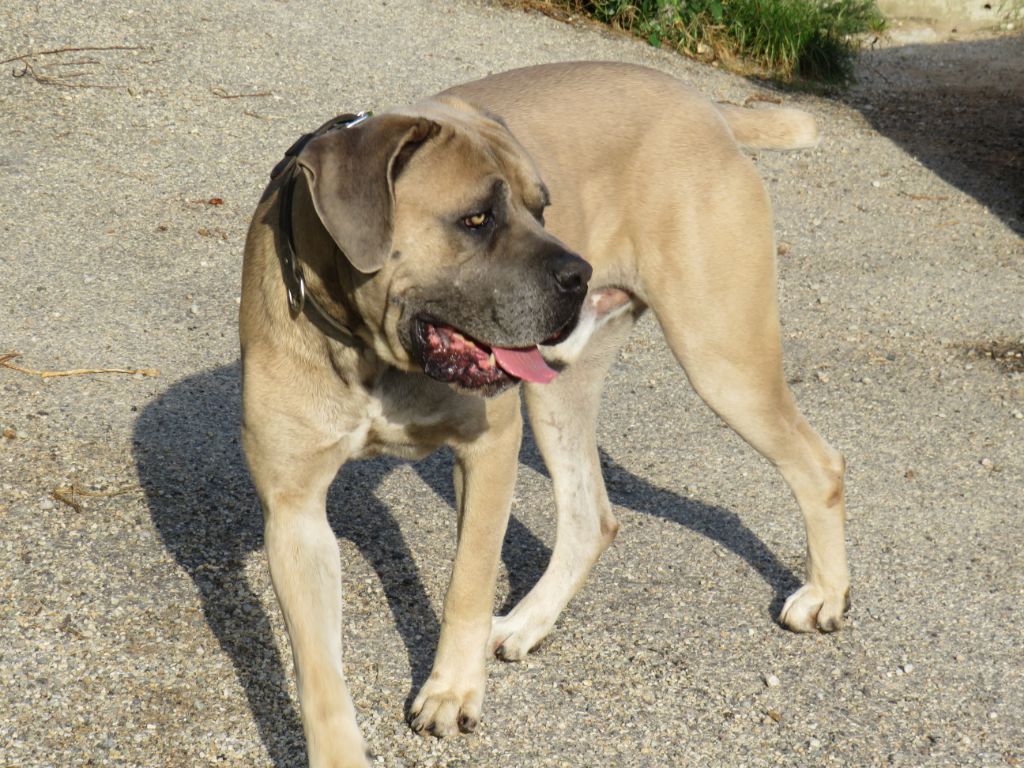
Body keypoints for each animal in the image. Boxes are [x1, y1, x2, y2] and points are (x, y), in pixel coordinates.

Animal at [239, 61, 847, 768]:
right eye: (475, 218)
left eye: (541, 207)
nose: (577, 273)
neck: (370, 354)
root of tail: (705, 107)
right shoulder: (295, 512)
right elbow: (318, 671)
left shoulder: (490, 448)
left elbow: (467, 587)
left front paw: (452, 691)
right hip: (558, 394)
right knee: (592, 519)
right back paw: (530, 622)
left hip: (720, 357)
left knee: (819, 463)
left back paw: (826, 595)